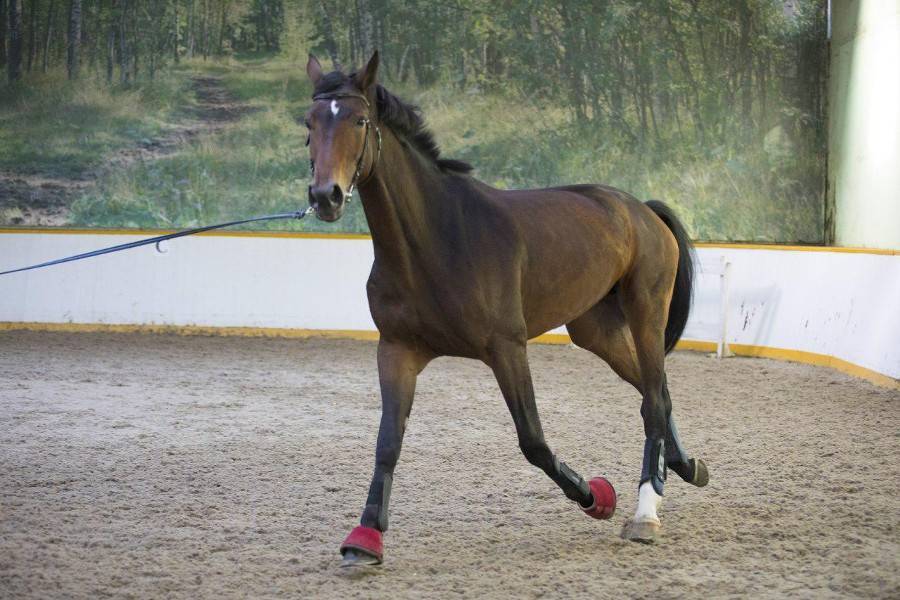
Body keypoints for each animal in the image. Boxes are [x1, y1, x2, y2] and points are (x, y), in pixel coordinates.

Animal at [303, 51, 709, 566]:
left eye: (359, 120)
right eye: (310, 122)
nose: (325, 196)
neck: (437, 239)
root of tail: (640, 209)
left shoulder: (507, 348)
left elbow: (532, 440)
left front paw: (597, 497)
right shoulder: (397, 350)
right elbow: (387, 442)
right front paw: (365, 538)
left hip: (646, 313)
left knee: (654, 398)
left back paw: (645, 511)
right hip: (594, 330)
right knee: (655, 391)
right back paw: (687, 466)